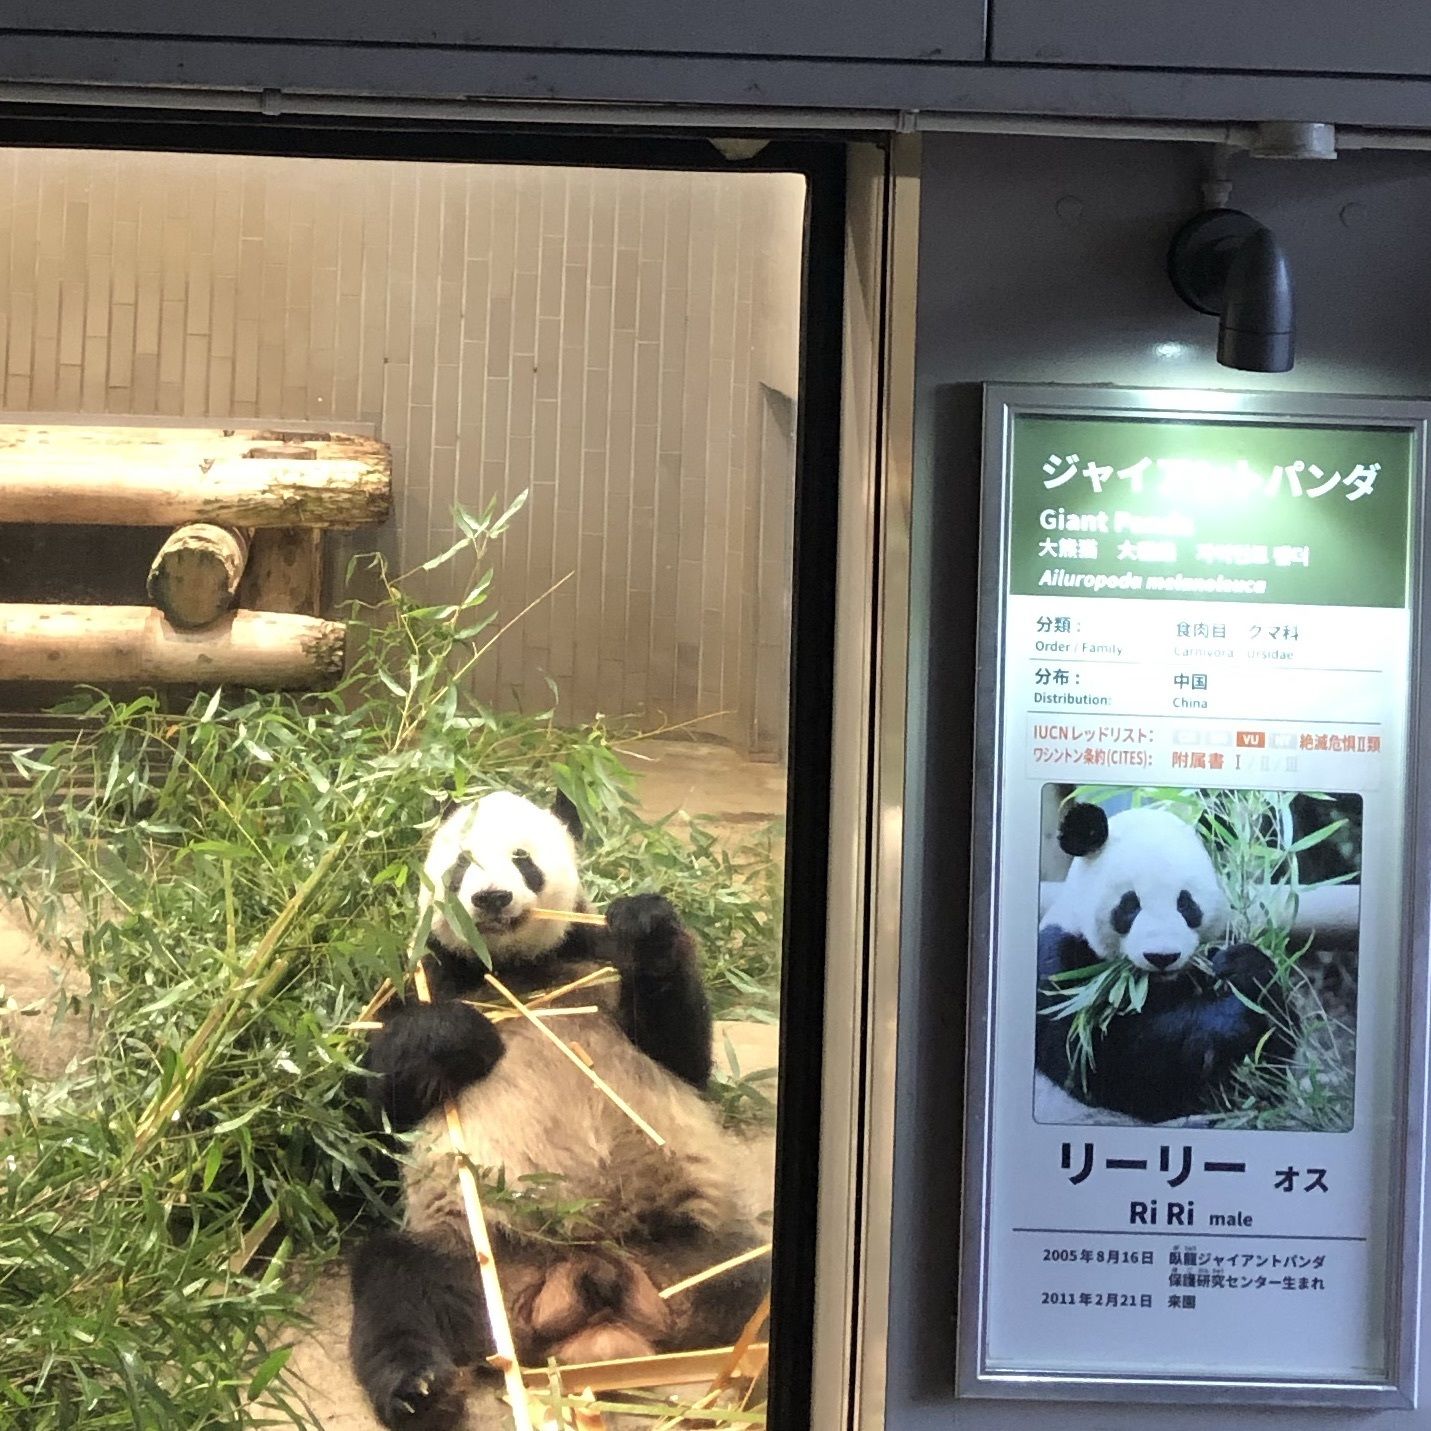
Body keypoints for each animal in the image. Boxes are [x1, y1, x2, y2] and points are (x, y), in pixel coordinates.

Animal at [347, 789, 772, 1425]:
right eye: (461, 864)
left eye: (522, 860)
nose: (490, 898)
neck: (514, 967)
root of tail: (590, 1281)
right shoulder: (420, 976)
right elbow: (375, 1117)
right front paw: (462, 1036)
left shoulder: (596, 955)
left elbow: (682, 1057)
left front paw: (647, 925)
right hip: (475, 1263)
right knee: (394, 1285)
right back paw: (419, 1391)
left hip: (695, 1248)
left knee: (756, 1278)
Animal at [1030, 801, 1299, 1121]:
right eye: (1130, 905)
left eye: (1185, 903)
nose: (1162, 957)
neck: (1154, 986)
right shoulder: (1060, 971)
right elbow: (1101, 1063)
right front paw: (1226, 1018)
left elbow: (1270, 1061)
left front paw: (1243, 970)